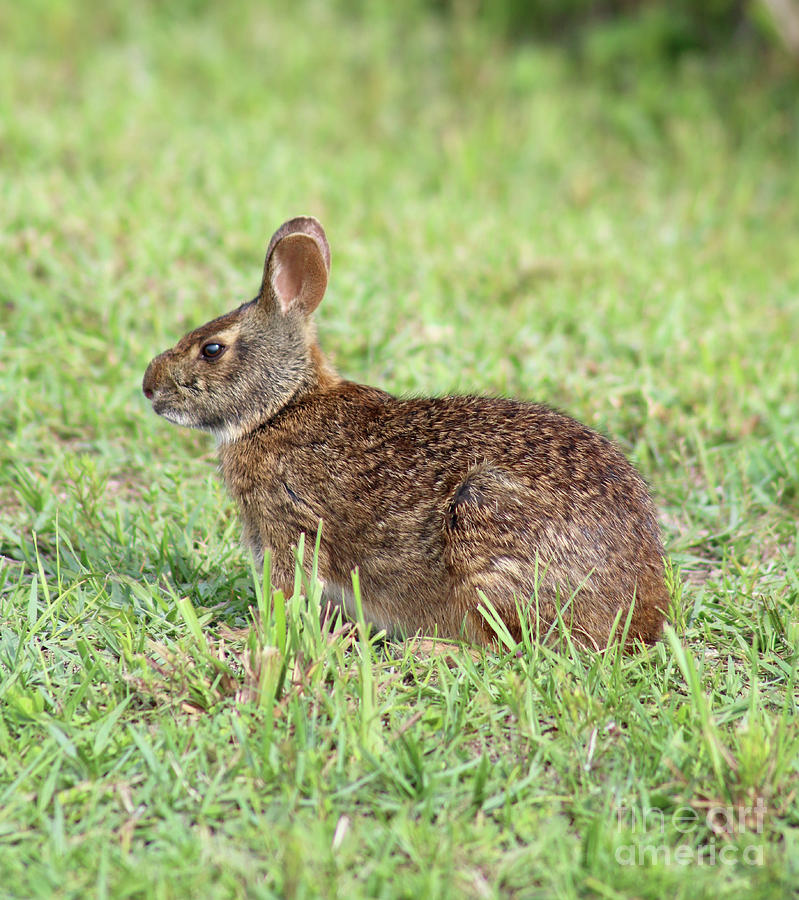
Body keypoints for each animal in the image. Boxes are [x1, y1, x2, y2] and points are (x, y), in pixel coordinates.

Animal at [143, 216, 668, 649]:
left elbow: (287, 594)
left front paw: (243, 633)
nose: (148, 387)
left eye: (212, 349)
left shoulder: (289, 526)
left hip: (486, 535)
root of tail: (643, 615)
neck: (281, 407)